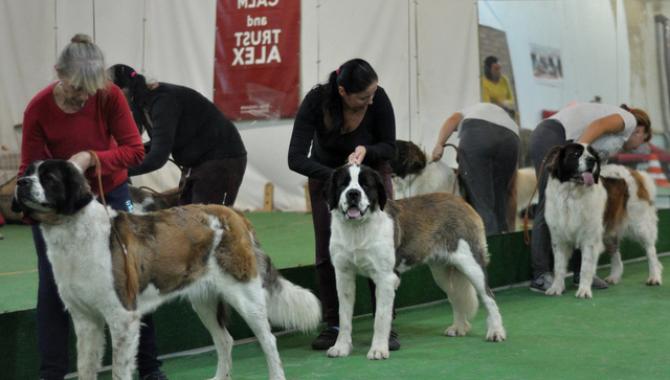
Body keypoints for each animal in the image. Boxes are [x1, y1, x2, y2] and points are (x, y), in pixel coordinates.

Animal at [13, 160, 322, 380]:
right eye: (28, 172)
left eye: (49, 178)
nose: (21, 182)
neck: (70, 231)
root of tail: (233, 214)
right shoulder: (85, 320)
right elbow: (86, 367)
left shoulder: (123, 318)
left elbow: (119, 369)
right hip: (204, 300)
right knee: (225, 340)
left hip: (245, 296)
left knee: (268, 340)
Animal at [328, 163, 506, 360]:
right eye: (343, 184)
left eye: (365, 185)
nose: (353, 194)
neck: (357, 229)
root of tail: (461, 201)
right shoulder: (343, 275)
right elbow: (344, 316)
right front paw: (341, 348)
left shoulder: (385, 278)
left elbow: (381, 317)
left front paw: (378, 350)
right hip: (442, 273)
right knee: (456, 296)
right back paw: (459, 327)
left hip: (471, 264)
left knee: (489, 297)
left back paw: (496, 332)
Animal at [548, 143, 664, 300]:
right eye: (576, 154)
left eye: (592, 154)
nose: (591, 160)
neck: (572, 195)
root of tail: (635, 173)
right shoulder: (559, 238)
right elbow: (559, 266)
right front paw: (556, 288)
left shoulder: (590, 238)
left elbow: (585, 267)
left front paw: (584, 290)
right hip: (609, 230)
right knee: (616, 254)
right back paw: (614, 277)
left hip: (641, 225)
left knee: (651, 251)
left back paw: (654, 277)